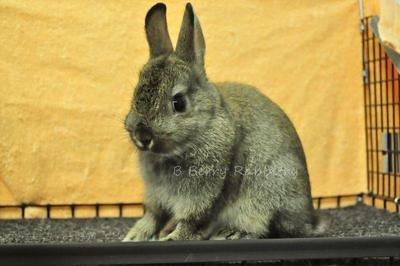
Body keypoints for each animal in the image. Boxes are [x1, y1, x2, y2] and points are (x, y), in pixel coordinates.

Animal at [123, 2, 320, 243]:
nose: (142, 136)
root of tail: (309, 221)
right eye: (135, 94)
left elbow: (190, 220)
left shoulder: (202, 195)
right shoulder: (156, 196)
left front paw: (172, 238)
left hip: (271, 190)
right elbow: (154, 216)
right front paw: (135, 236)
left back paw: (229, 233)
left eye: (178, 102)